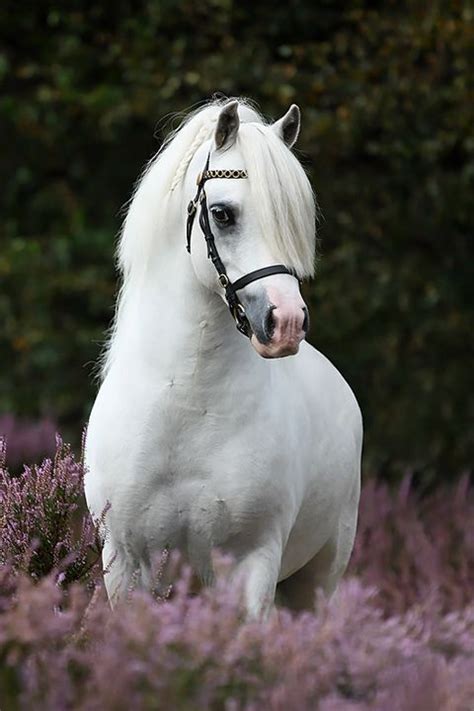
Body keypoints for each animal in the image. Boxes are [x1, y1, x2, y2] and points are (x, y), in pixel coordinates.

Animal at [84, 98, 362, 616]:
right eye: (223, 213)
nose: (286, 323)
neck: (185, 405)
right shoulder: (124, 562)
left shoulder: (253, 562)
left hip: (317, 579)